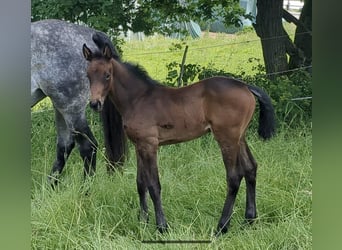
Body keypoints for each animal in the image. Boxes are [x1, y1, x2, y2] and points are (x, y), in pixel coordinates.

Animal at [31, 20, 125, 186]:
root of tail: (90, 33)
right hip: (60, 107)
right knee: (64, 145)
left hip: (70, 108)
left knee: (88, 146)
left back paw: (85, 188)